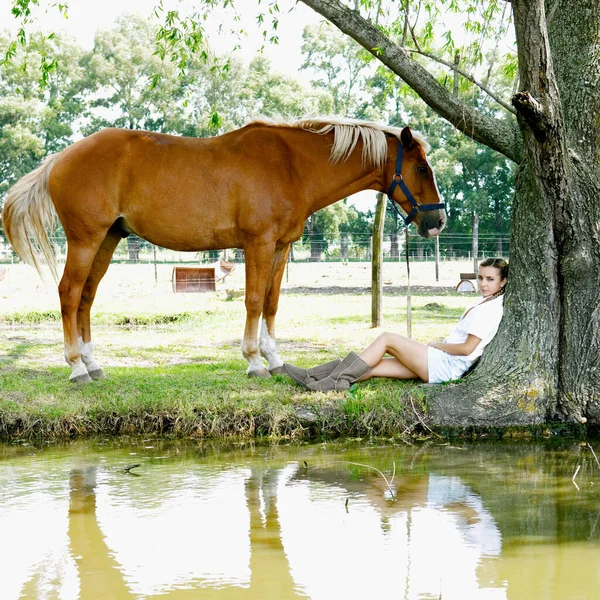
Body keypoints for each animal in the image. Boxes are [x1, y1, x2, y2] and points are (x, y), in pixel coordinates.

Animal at [2, 117, 446, 382]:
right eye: (421, 168)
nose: (438, 222)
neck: (292, 165)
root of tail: (59, 159)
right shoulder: (258, 244)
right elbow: (252, 300)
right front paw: (253, 361)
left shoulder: (281, 247)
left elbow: (271, 303)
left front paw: (274, 359)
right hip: (85, 240)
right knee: (69, 293)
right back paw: (76, 367)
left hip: (107, 240)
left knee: (86, 297)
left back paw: (93, 364)